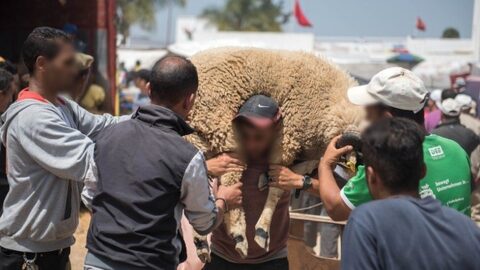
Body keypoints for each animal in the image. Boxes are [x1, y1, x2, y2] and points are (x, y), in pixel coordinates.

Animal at [186, 47, 362, 262]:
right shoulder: (287, 138)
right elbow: (276, 189)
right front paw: (261, 231)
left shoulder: (307, 155)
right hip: (221, 127)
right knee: (229, 179)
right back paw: (238, 234)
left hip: (199, 137)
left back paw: (202, 240)